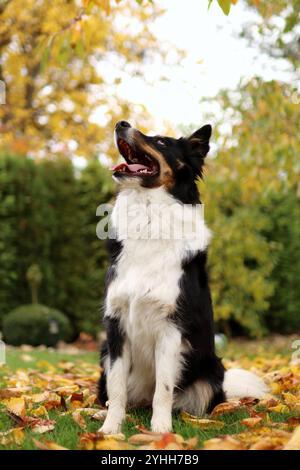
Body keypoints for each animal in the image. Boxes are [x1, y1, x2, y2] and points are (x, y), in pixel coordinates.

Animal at [96, 120, 268, 434]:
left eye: (162, 142)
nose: (121, 123)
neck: (149, 217)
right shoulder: (116, 325)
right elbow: (117, 387)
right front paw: (110, 429)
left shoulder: (171, 327)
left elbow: (163, 388)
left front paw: (161, 431)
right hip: (103, 355)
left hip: (211, 373)